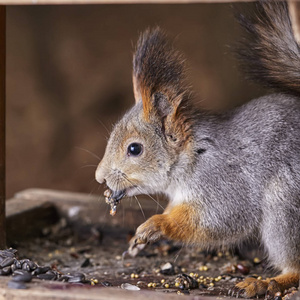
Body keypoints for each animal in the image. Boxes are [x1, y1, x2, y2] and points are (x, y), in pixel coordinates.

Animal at [95, 1, 300, 298]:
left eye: (134, 149)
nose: (100, 177)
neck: (192, 157)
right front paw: (137, 242)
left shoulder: (223, 181)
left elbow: (221, 219)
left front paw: (157, 224)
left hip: (285, 202)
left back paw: (265, 282)